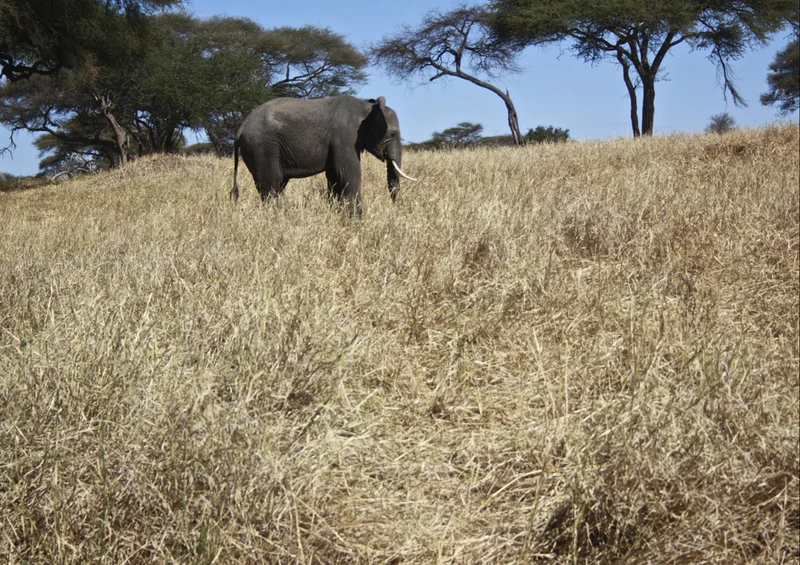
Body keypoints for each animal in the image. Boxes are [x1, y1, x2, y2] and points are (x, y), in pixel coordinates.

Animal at [231, 95, 416, 216]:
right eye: (392, 134)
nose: (394, 206)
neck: (366, 107)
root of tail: (241, 128)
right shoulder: (345, 136)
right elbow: (348, 172)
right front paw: (356, 220)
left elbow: (334, 175)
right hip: (262, 147)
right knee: (271, 185)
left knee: (277, 185)